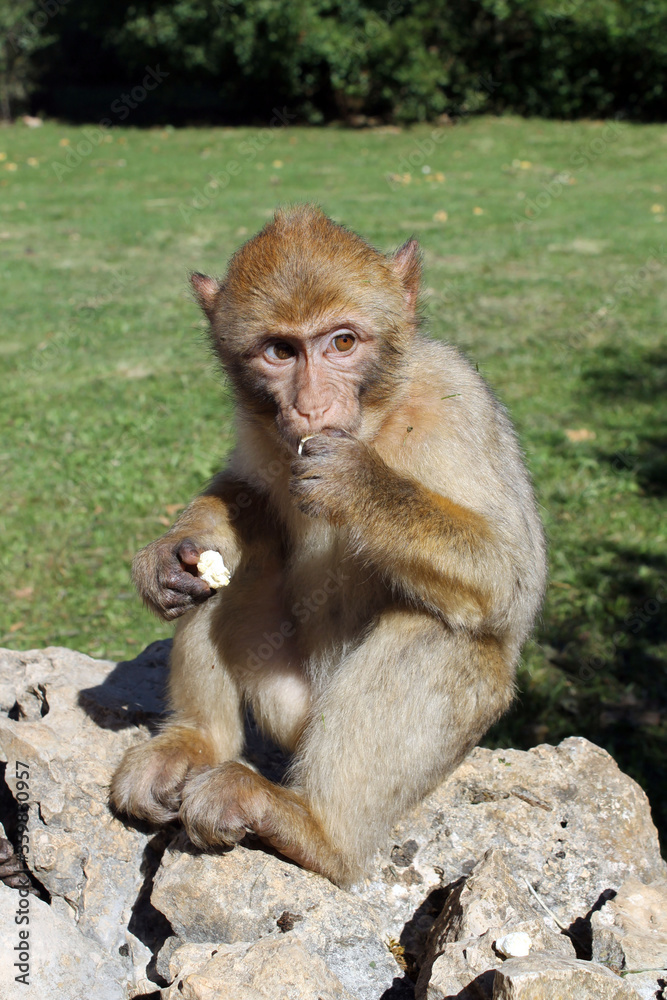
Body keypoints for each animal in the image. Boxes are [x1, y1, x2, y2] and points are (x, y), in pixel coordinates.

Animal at [110, 205, 547, 888]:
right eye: (280, 350)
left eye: (342, 342)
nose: (311, 406)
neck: (376, 418)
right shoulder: (259, 425)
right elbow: (247, 498)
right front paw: (175, 548)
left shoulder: (459, 406)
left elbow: (511, 578)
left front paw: (357, 484)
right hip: (285, 703)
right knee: (233, 574)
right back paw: (196, 742)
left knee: (440, 629)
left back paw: (319, 832)